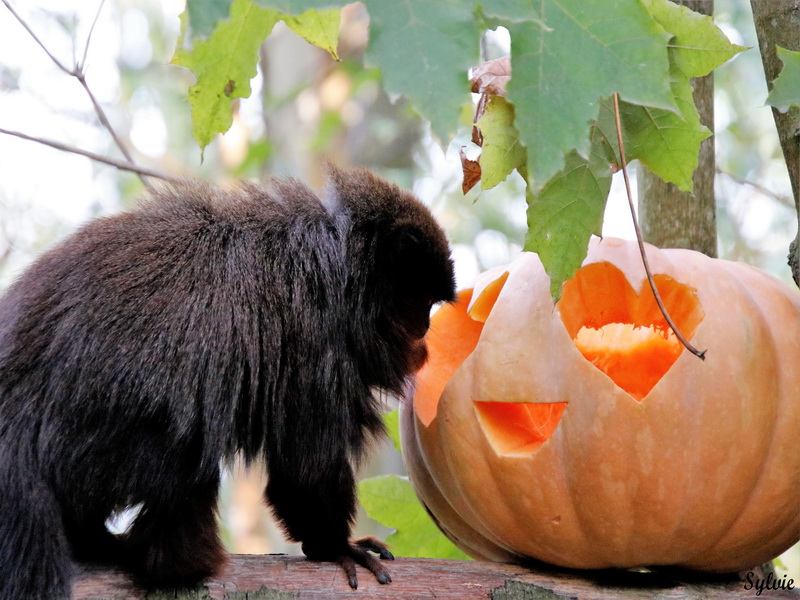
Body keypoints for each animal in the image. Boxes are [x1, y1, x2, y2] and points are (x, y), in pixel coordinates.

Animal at [0, 166, 454, 596]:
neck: (339, 268)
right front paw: (335, 547)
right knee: (183, 446)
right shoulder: (314, 339)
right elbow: (306, 469)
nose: (426, 332)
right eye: (421, 305)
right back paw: (176, 565)